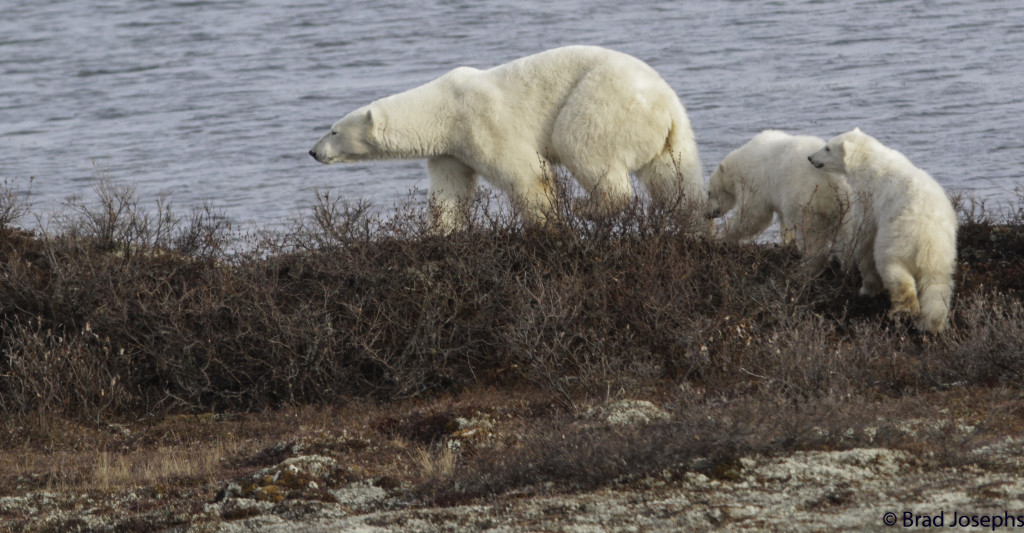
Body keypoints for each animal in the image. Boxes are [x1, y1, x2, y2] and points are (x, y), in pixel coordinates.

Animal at [309, 45, 705, 232]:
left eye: (333, 130)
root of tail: (664, 104)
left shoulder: (482, 121)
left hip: (603, 103)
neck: (444, 107)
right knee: (676, 181)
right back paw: (694, 226)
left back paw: (588, 207)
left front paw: (548, 224)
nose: (312, 151)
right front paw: (439, 231)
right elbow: (450, 191)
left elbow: (526, 174)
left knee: (580, 143)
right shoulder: (452, 150)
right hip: (671, 137)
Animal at [706, 130, 851, 266]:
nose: (708, 214)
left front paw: (722, 236)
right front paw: (786, 242)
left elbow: (752, 214)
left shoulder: (754, 180)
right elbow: (781, 218)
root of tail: (833, 181)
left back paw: (807, 262)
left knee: (808, 232)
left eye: (709, 193)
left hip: (806, 199)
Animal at [808, 127, 958, 333]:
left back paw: (898, 311)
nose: (810, 157)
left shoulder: (867, 195)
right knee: (937, 285)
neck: (870, 160)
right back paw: (931, 323)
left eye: (827, 148)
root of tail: (926, 237)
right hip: (942, 252)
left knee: (892, 268)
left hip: (898, 239)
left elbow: (863, 229)